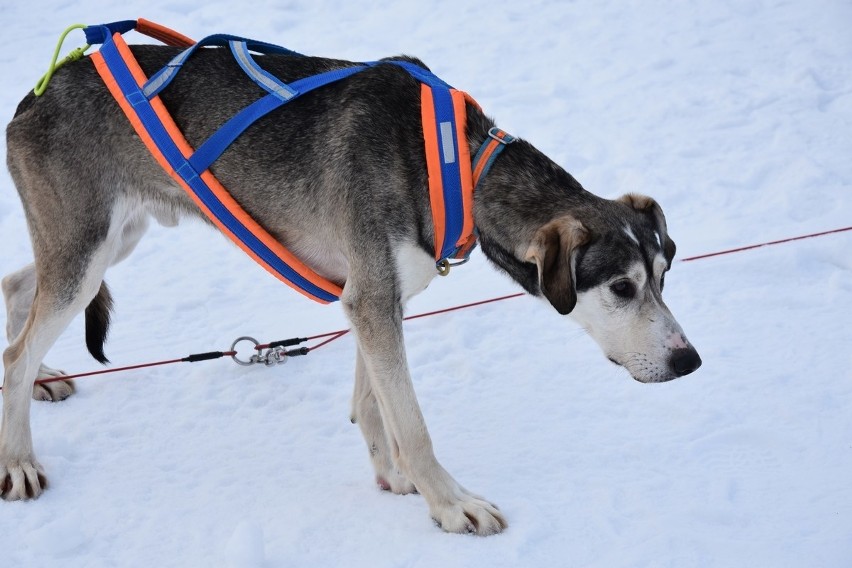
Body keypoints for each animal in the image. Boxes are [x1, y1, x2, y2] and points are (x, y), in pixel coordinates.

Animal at [1, 44, 700, 532]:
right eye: (621, 286)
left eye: (664, 276)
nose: (689, 361)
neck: (457, 163)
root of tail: (36, 92)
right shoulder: (372, 298)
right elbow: (413, 424)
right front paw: (451, 504)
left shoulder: (375, 297)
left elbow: (373, 403)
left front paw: (392, 477)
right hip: (86, 255)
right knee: (15, 352)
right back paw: (17, 459)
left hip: (109, 242)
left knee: (16, 291)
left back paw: (42, 382)